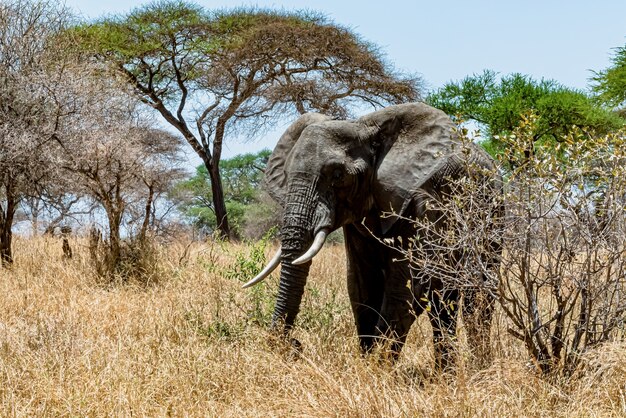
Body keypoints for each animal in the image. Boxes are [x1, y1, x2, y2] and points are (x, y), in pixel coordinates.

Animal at [241, 103, 500, 370]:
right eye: (287, 173)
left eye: (337, 175)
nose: (293, 344)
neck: (363, 126)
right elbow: (361, 284)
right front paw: (368, 364)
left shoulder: (425, 202)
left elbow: (408, 286)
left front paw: (379, 368)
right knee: (444, 302)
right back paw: (445, 372)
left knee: (476, 296)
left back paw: (479, 367)